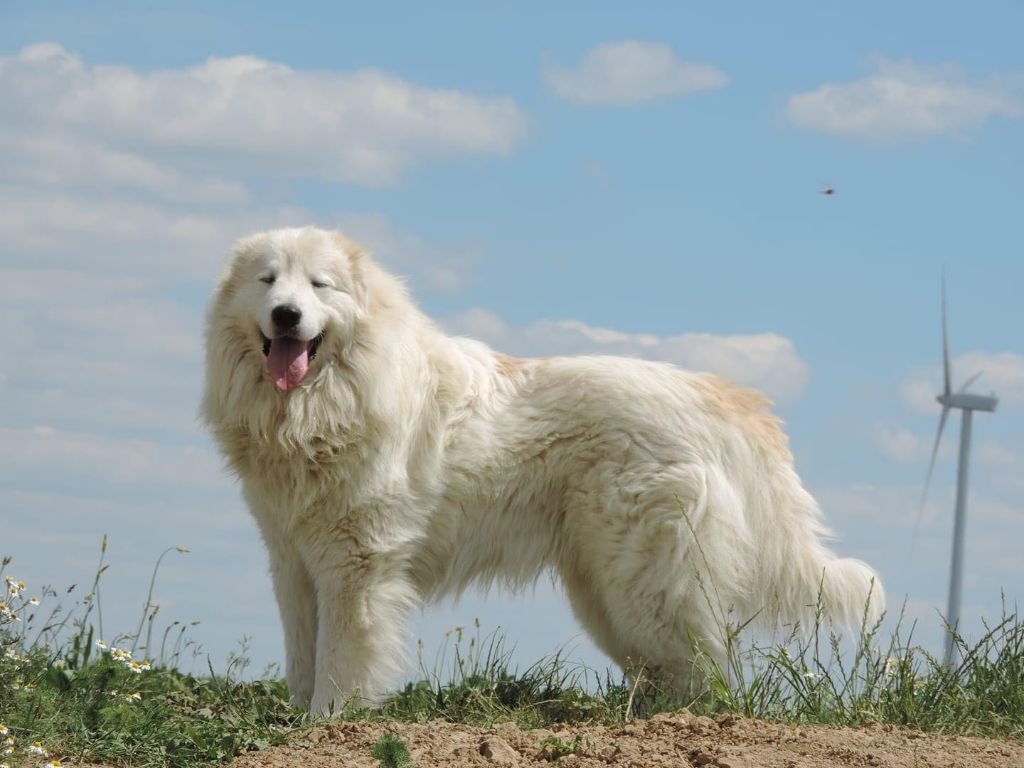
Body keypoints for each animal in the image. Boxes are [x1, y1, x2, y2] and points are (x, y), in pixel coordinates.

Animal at [199, 227, 880, 716]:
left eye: (320, 285)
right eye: (268, 280)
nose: (287, 314)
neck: (321, 405)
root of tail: (713, 393)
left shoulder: (357, 564)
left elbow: (340, 659)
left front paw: (328, 723)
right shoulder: (294, 560)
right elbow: (302, 653)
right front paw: (297, 720)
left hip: (646, 582)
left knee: (703, 670)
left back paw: (676, 727)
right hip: (605, 592)